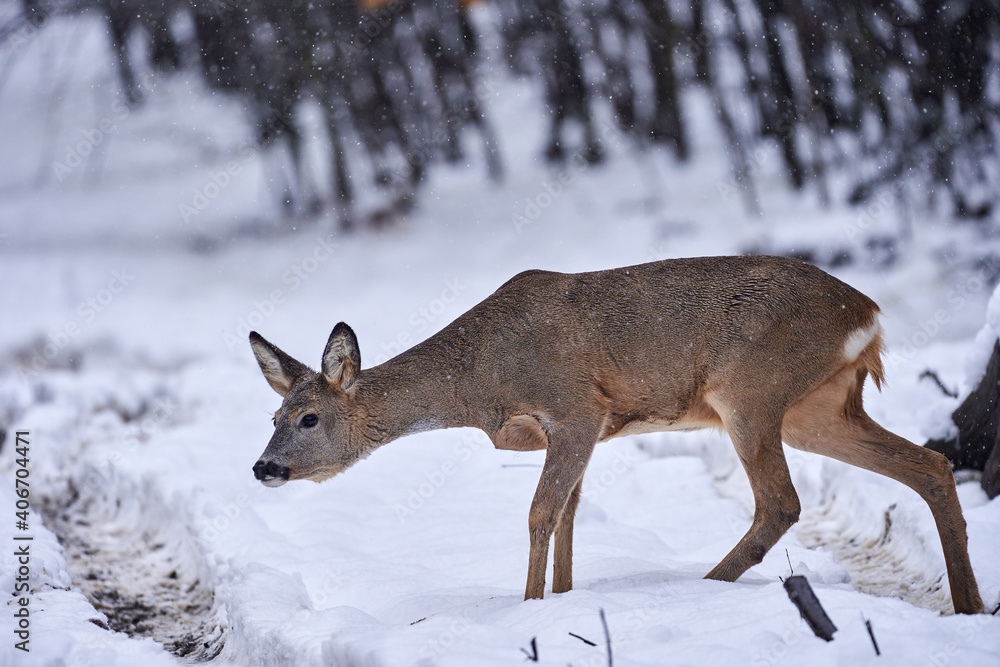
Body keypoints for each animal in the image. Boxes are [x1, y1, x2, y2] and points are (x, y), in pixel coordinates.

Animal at [248, 255, 985, 614]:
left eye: (309, 418)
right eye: (273, 418)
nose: (263, 468)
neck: (479, 380)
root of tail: (868, 313)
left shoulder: (574, 405)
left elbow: (541, 512)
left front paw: (529, 607)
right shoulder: (587, 428)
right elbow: (570, 514)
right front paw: (563, 598)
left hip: (749, 388)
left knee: (782, 501)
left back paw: (707, 585)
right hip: (817, 406)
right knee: (929, 464)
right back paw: (972, 605)